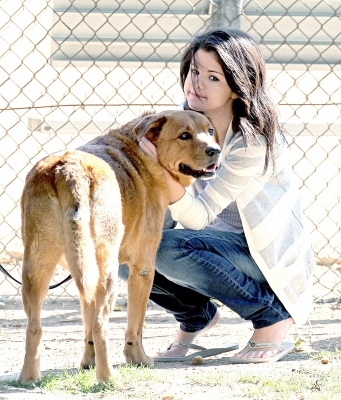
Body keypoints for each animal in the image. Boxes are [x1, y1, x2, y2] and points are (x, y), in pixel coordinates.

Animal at [17, 108, 219, 382]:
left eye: (210, 131)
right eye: (184, 135)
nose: (215, 150)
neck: (142, 153)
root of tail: (67, 170)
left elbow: (87, 325)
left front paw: (88, 363)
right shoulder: (143, 268)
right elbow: (136, 326)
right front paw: (139, 359)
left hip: (37, 270)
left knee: (35, 327)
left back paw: (29, 378)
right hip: (107, 273)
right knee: (101, 324)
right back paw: (107, 377)